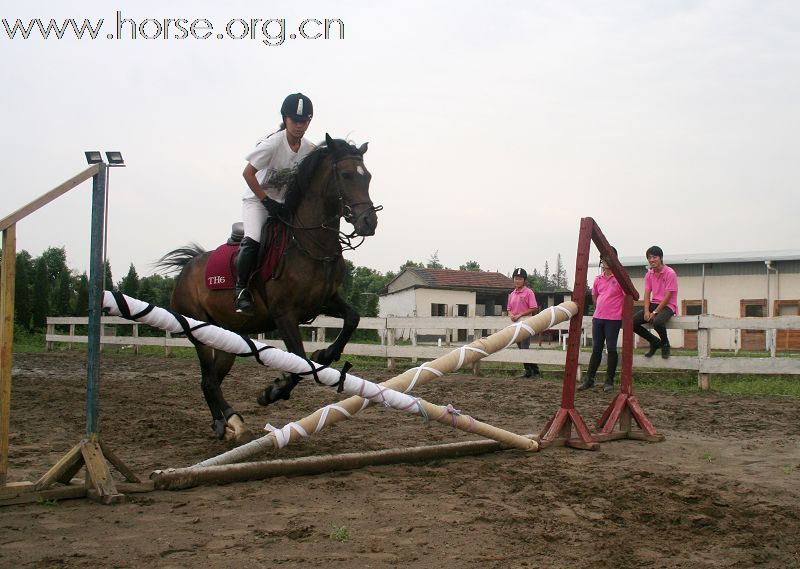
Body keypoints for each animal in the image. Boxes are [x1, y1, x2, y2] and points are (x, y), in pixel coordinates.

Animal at [159, 135, 382, 442]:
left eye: (368, 176)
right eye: (347, 175)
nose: (368, 222)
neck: (311, 243)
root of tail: (186, 269)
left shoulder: (326, 300)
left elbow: (352, 319)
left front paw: (325, 354)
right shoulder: (284, 314)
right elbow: (299, 363)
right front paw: (272, 392)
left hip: (227, 337)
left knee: (213, 379)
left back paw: (226, 422)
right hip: (200, 331)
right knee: (207, 380)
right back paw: (227, 421)